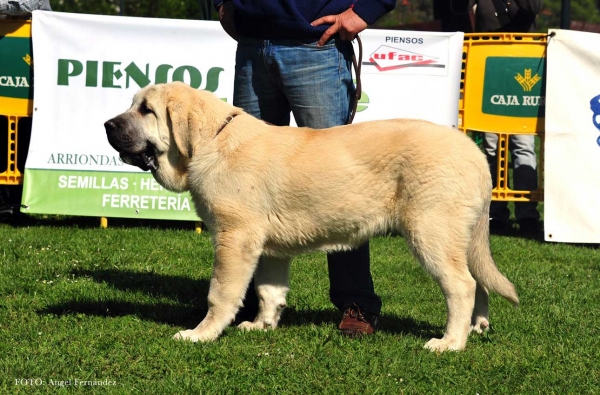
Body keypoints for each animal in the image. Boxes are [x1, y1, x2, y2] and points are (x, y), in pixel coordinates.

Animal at [105, 81, 516, 352]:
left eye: (146, 110)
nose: (108, 124)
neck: (211, 141)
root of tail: (473, 152)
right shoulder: (267, 247)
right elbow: (269, 290)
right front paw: (262, 325)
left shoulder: (234, 238)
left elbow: (220, 293)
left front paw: (201, 334)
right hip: (459, 237)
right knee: (479, 280)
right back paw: (477, 326)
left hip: (431, 231)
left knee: (462, 285)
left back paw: (450, 342)